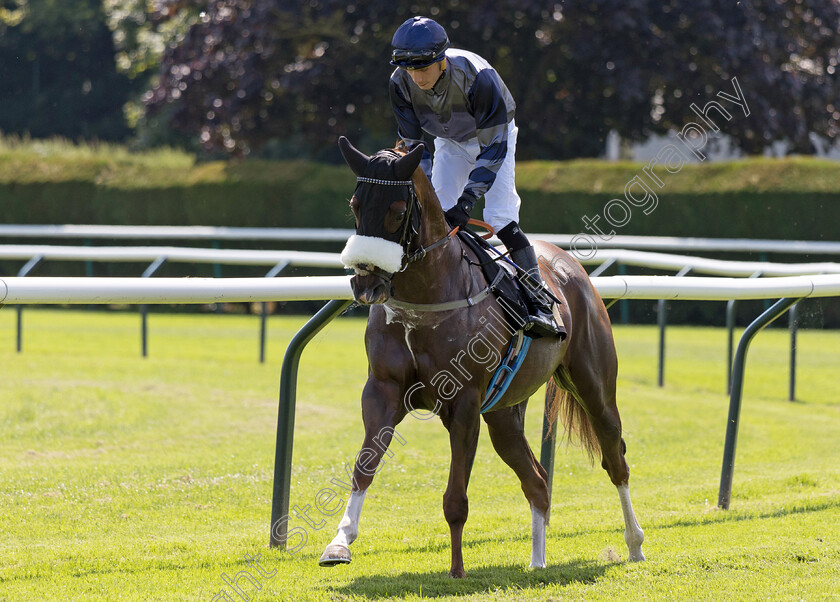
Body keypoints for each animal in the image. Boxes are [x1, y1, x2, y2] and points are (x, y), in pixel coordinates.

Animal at [316, 137, 644, 576]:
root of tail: (570, 265)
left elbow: (455, 497)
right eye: (354, 204)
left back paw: (634, 544)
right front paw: (339, 542)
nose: (365, 284)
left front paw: (457, 570)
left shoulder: (465, 402)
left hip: (594, 386)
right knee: (537, 481)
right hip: (503, 414)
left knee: (615, 458)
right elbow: (363, 466)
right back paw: (537, 562)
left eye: (398, 211)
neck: (426, 298)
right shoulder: (383, 390)